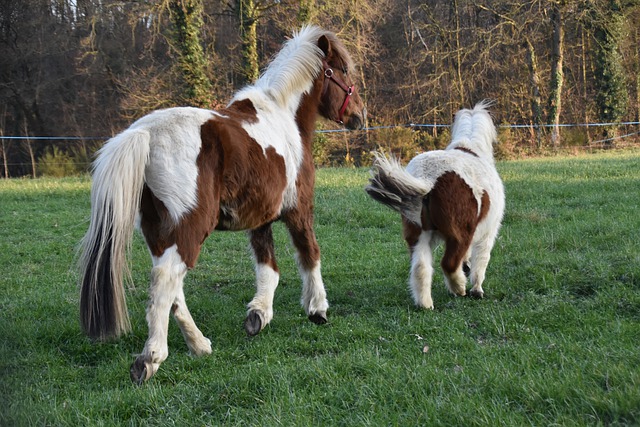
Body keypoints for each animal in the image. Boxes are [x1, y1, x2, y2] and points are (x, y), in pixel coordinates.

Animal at [78, 25, 366, 384]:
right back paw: (150, 358)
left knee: (172, 289)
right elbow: (309, 254)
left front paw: (258, 315)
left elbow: (268, 268)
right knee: (166, 282)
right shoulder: (298, 211)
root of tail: (145, 133)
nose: (359, 115)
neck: (283, 116)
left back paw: (199, 345)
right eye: (342, 71)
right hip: (189, 229)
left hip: (158, 233)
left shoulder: (261, 218)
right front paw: (317, 309)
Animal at [365, 101, 504, 310]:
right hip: (460, 234)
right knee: (449, 264)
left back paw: (426, 304)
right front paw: (476, 290)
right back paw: (458, 287)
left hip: (417, 234)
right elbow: (480, 262)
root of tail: (428, 179)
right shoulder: (488, 232)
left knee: (420, 268)